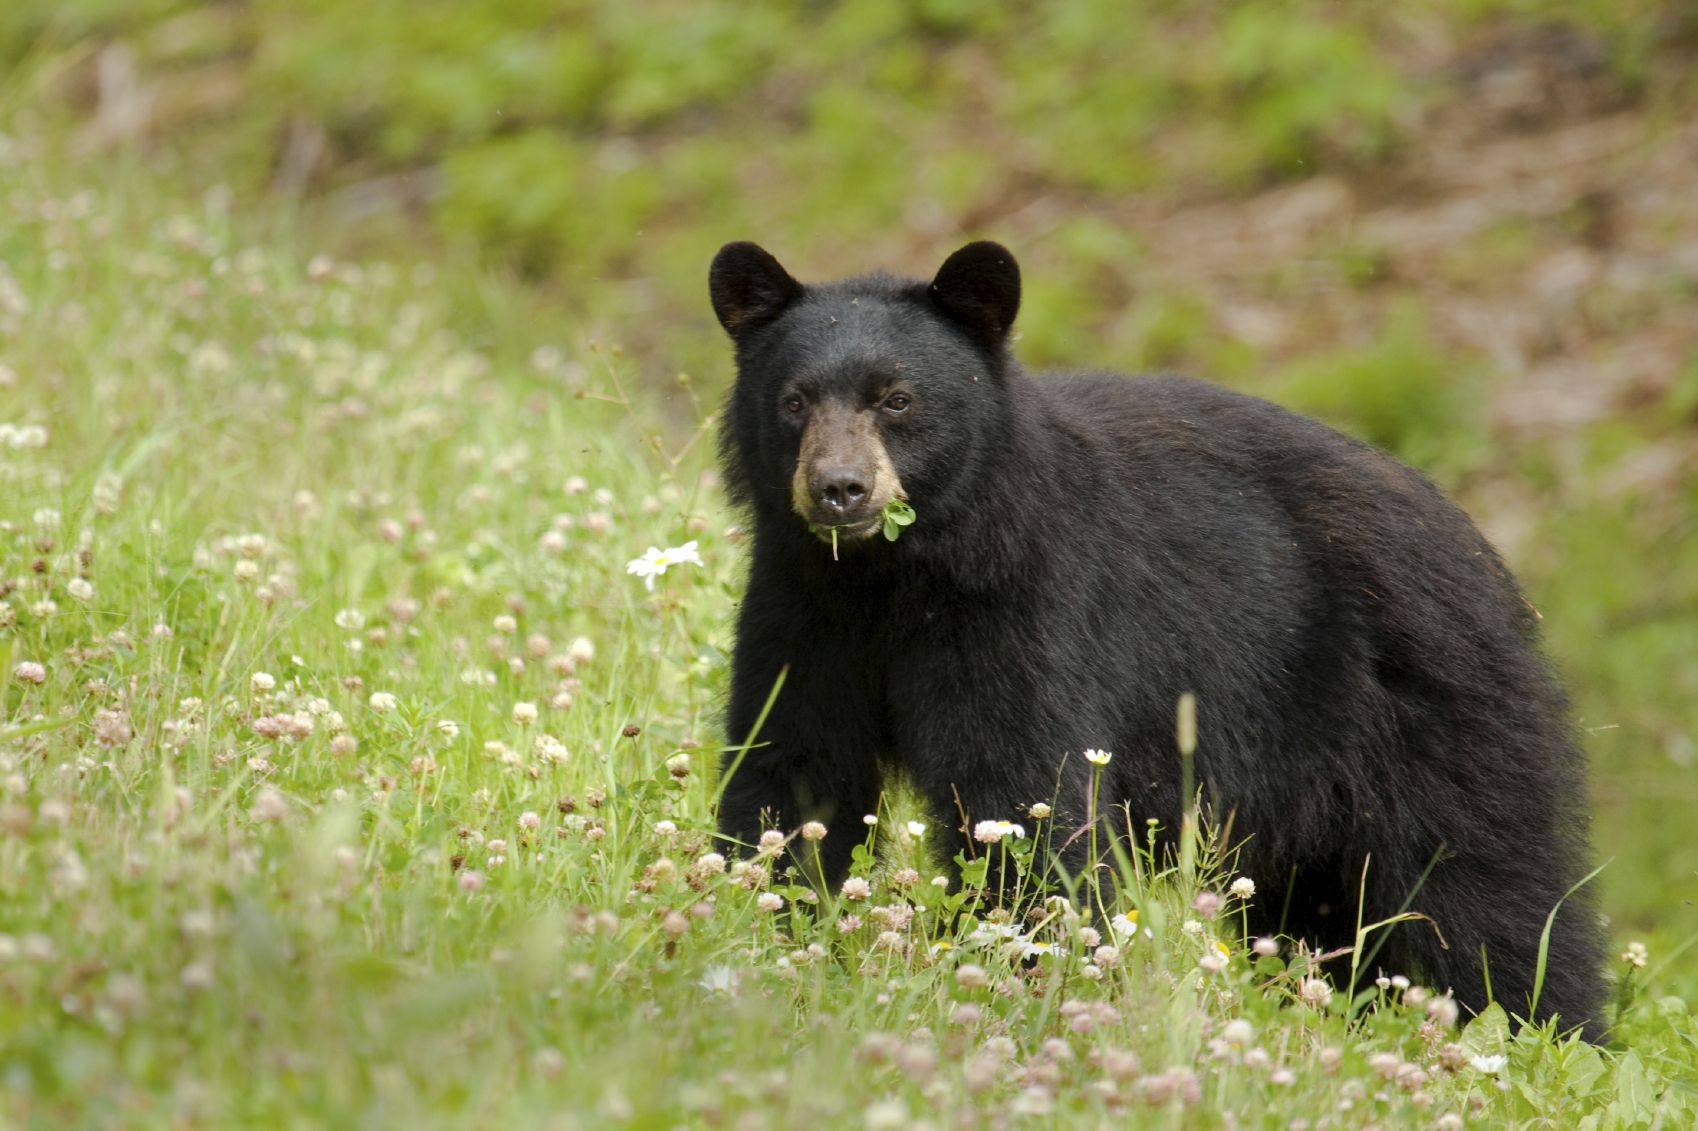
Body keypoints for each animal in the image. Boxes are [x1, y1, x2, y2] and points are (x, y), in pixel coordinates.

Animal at [709, 239, 1606, 1039]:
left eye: (896, 399)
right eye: (794, 401)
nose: (839, 489)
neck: (892, 578)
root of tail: (1487, 556)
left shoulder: (1024, 611)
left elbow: (1025, 794)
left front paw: (1036, 975)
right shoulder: (800, 610)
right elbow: (791, 767)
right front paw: (762, 928)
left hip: (1433, 708)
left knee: (1491, 893)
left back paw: (1547, 1036)